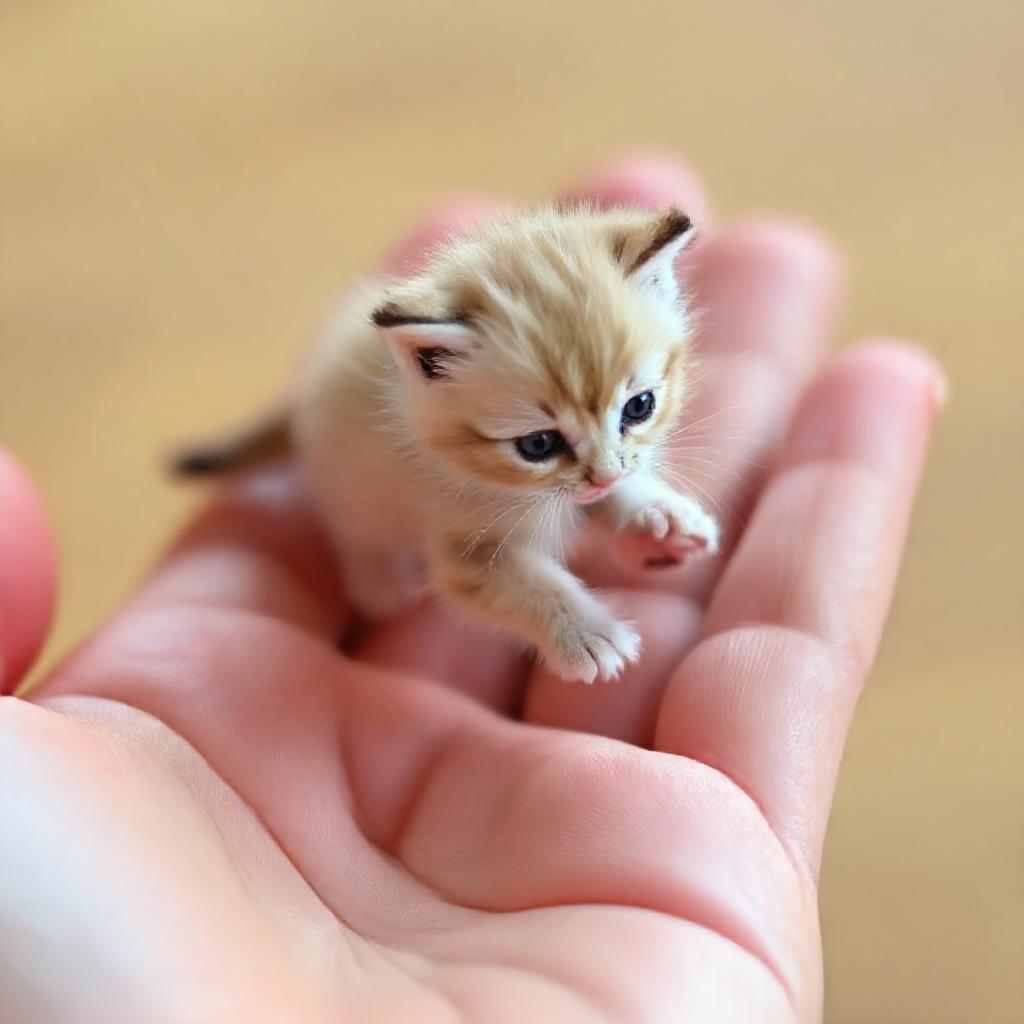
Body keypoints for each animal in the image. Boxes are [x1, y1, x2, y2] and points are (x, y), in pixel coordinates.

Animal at [176, 205, 720, 683]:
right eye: (538, 445)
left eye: (640, 406)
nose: (605, 475)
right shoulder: (465, 548)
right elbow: (526, 586)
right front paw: (587, 635)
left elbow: (620, 486)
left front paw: (659, 515)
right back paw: (376, 576)